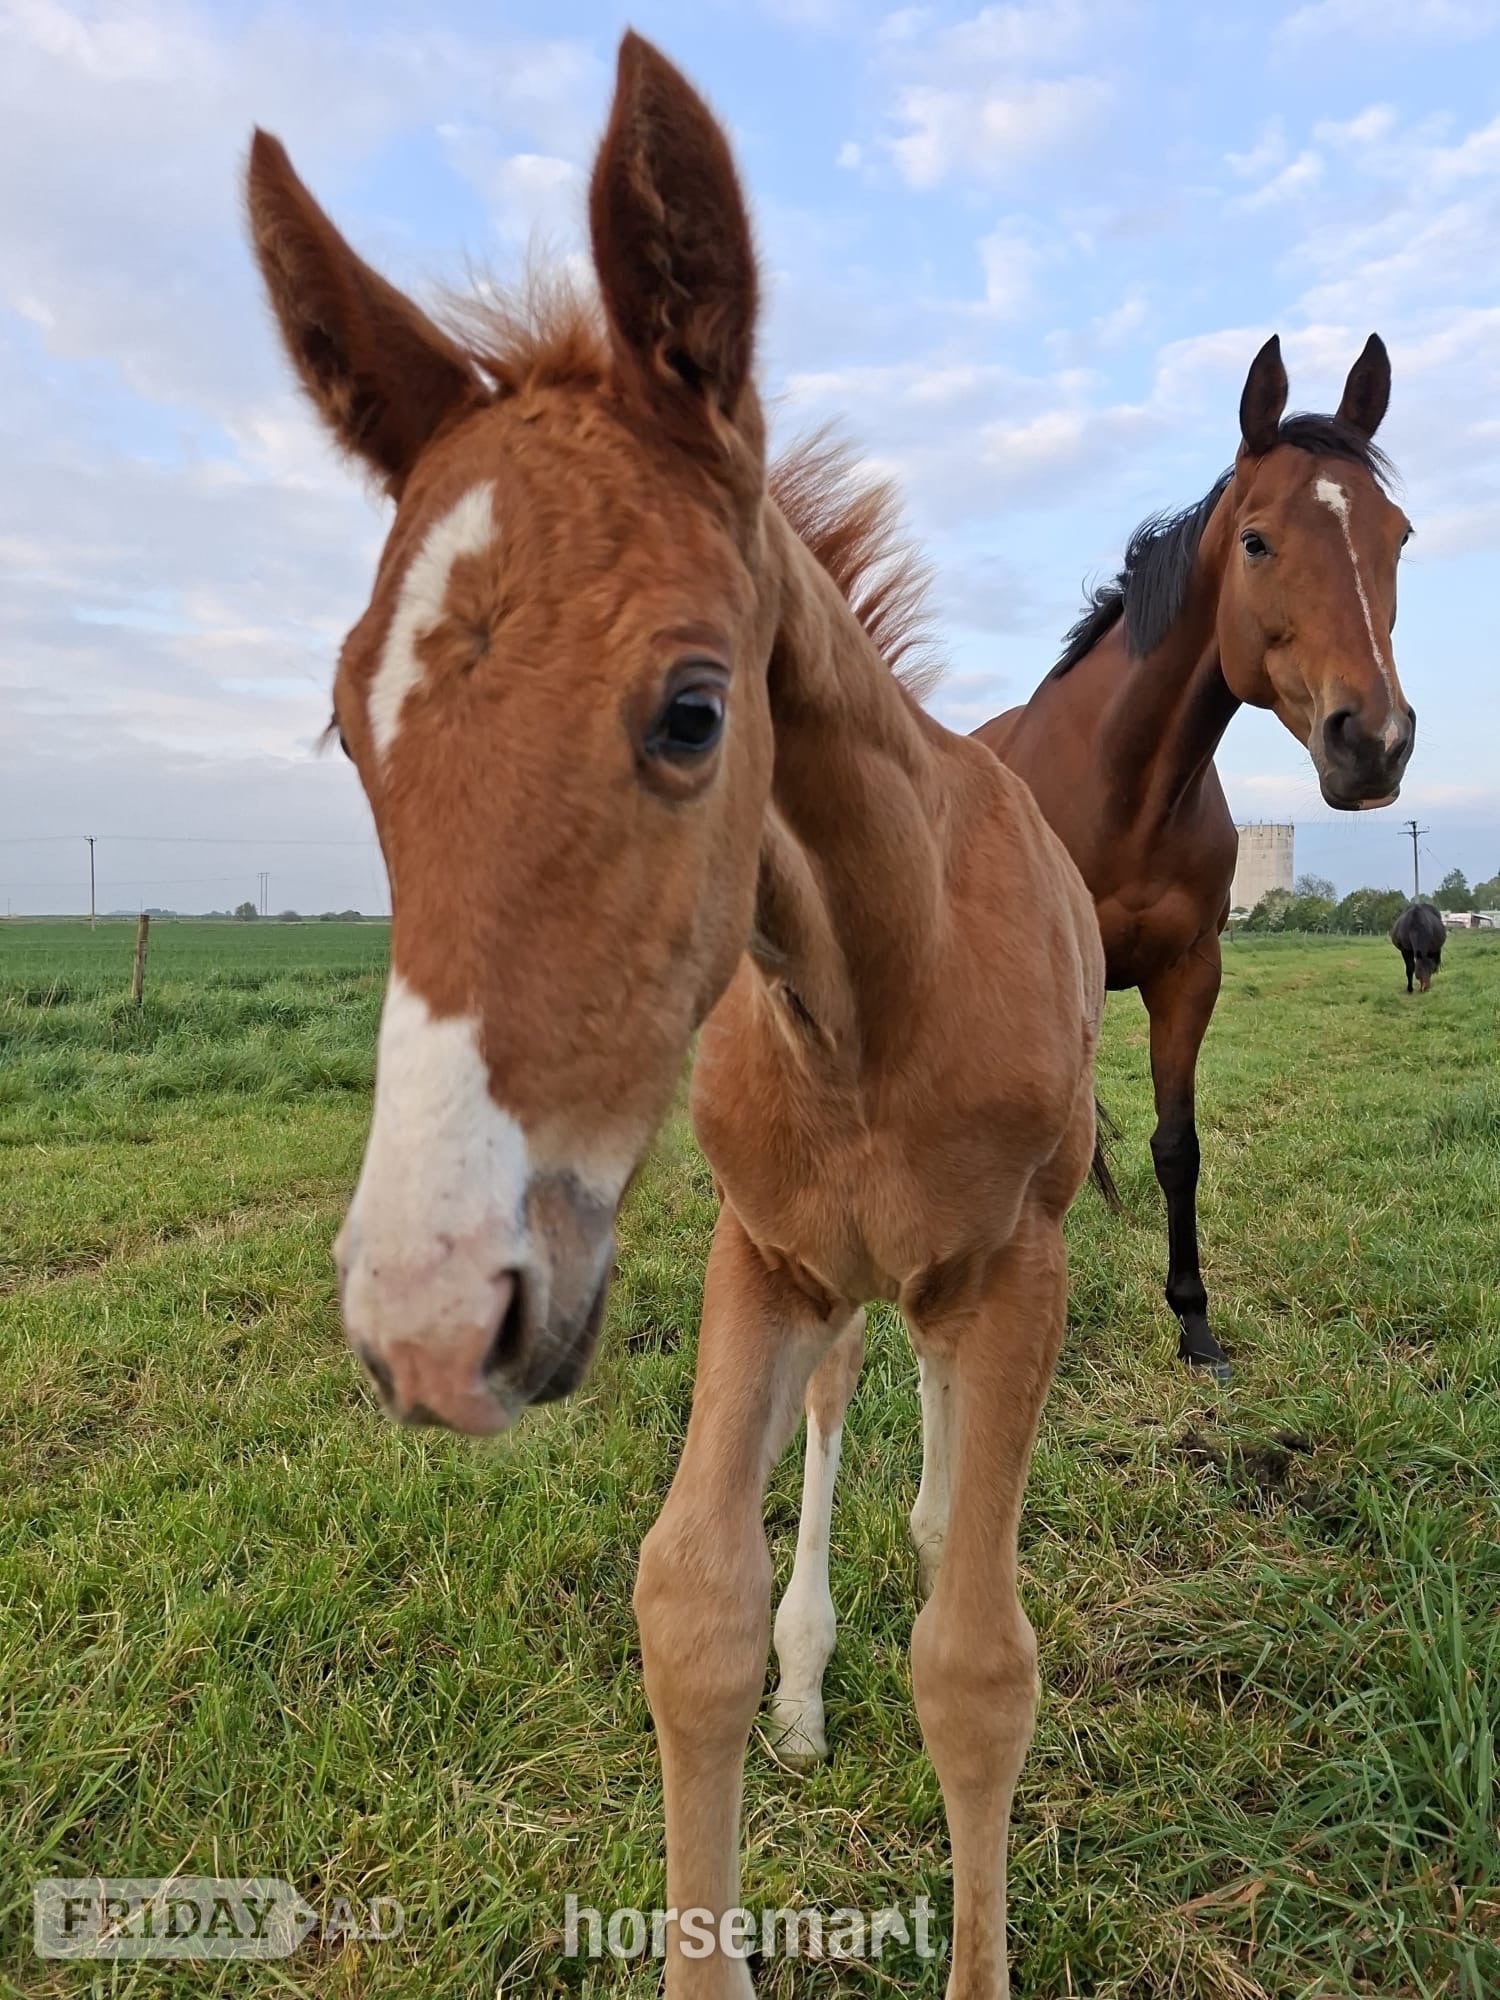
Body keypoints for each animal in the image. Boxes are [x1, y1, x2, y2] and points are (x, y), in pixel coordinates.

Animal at [248, 34, 1102, 1997]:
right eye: (351, 723)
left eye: (694, 710)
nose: (428, 1321)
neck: (871, 1009)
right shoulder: (757, 1257)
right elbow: (686, 1607)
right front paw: (771, 1685)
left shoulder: (1012, 1263)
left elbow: (980, 1661)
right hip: (828, 1276)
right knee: (854, 1402)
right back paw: (811, 1676)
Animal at [971, 338, 1416, 1377]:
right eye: (1255, 541)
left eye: (1401, 536)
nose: (1373, 742)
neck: (1125, 787)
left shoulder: (1189, 971)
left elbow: (1178, 1144)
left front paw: (1194, 1319)